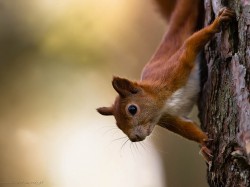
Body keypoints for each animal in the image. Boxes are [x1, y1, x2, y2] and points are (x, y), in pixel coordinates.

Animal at [97, 0, 234, 161]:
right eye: (118, 125)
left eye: (132, 109)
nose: (134, 138)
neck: (163, 102)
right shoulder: (169, 117)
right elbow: (188, 128)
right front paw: (204, 144)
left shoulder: (174, 69)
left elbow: (191, 43)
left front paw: (217, 23)